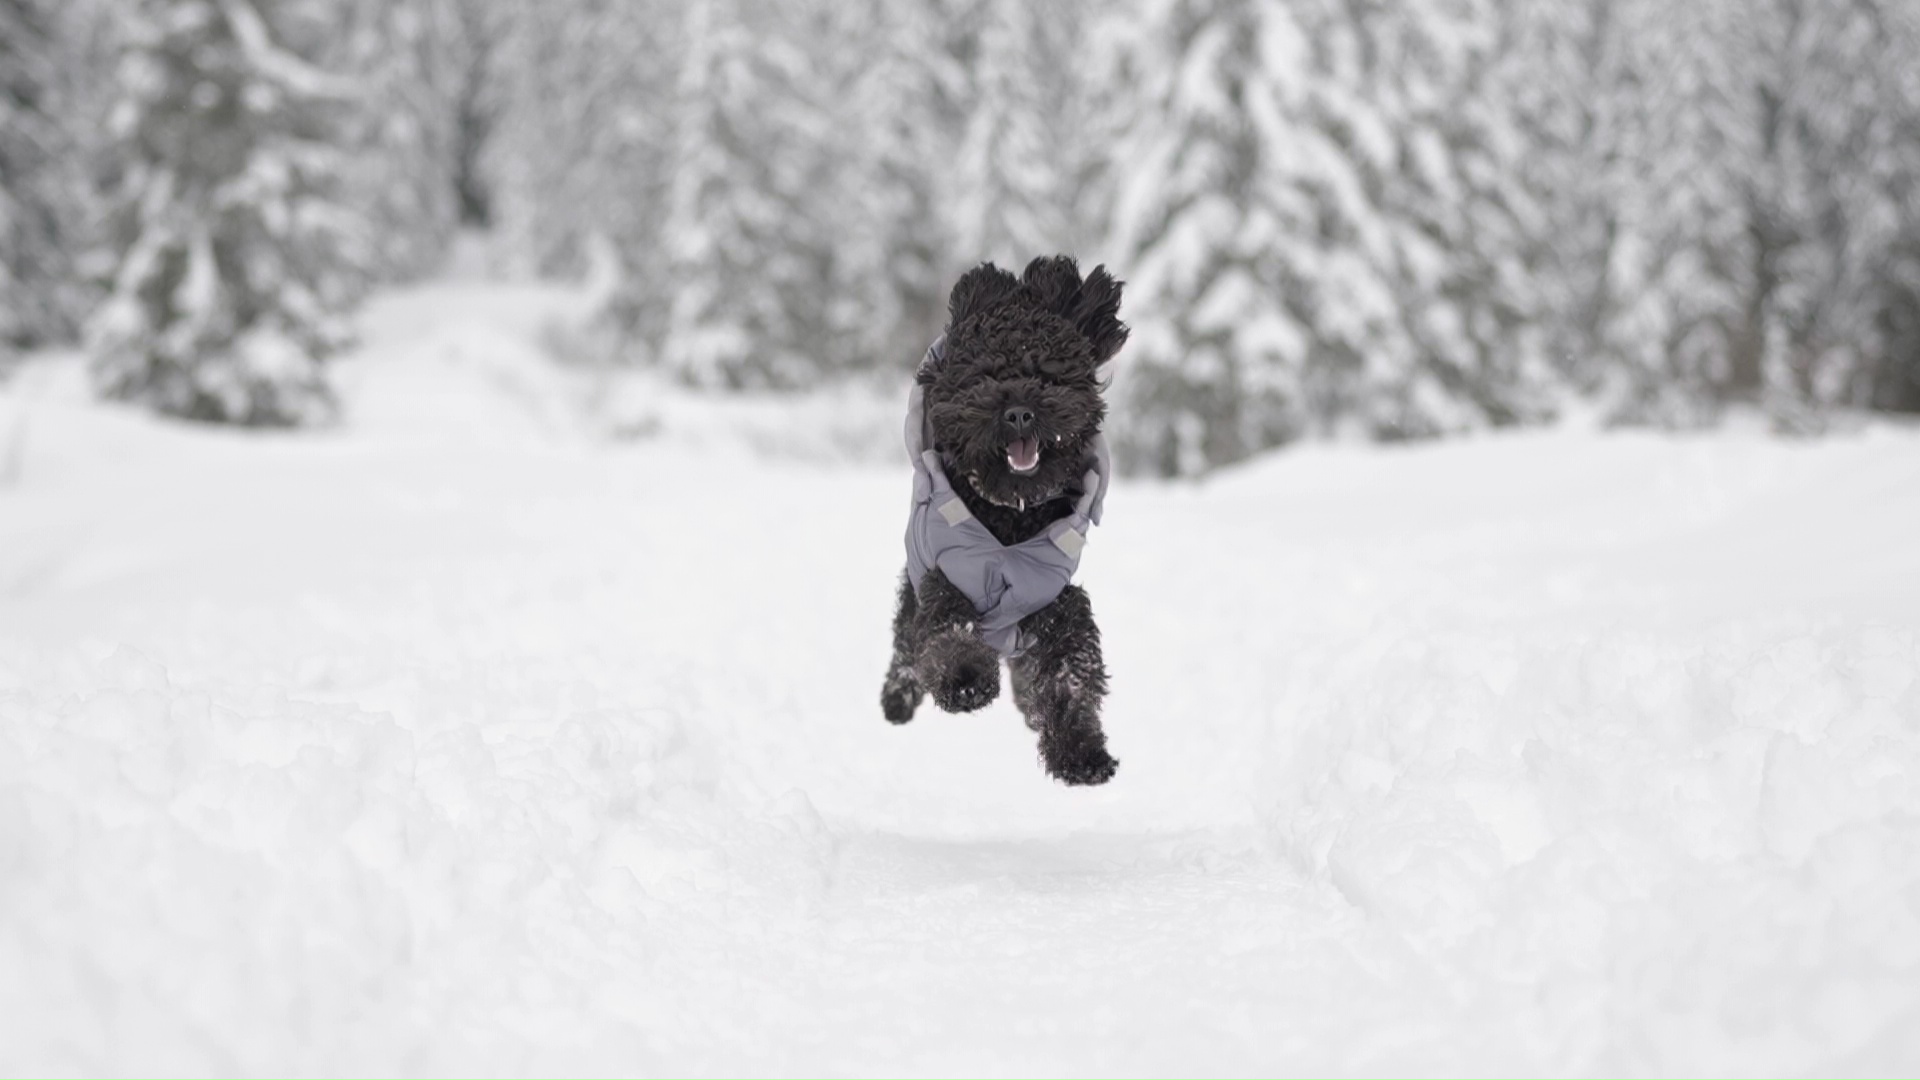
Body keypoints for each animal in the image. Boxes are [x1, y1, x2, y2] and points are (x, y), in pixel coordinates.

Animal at [879, 257, 1128, 787]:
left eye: (1048, 375)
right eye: (985, 377)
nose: (1018, 414)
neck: (1010, 516)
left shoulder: (1055, 598)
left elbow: (1072, 670)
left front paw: (1082, 752)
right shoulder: (946, 580)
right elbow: (949, 633)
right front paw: (967, 681)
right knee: (905, 650)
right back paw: (897, 698)